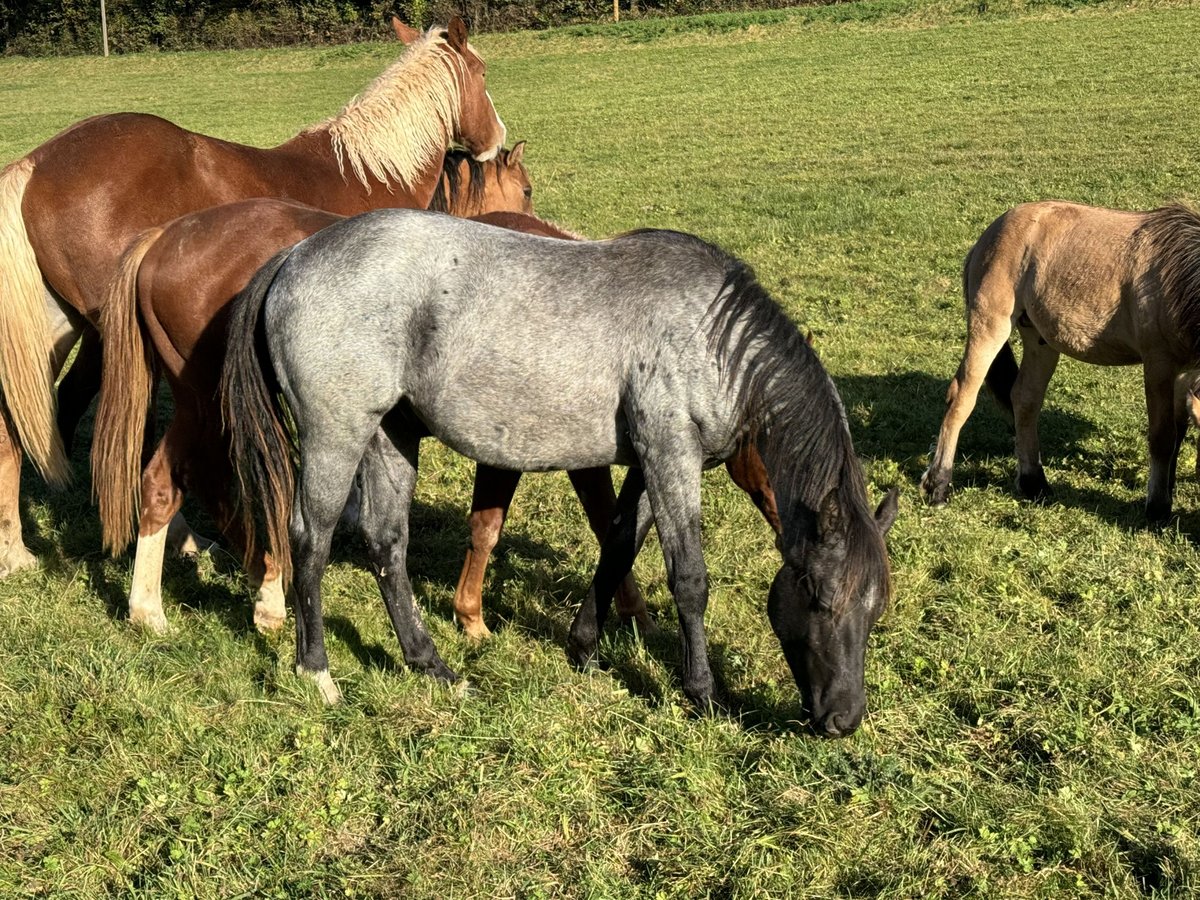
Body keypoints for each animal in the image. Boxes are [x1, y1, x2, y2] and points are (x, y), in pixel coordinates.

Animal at [0, 15, 501, 578]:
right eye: (483, 71)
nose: (496, 138)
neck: (370, 173)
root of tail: (36, 163)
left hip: (56, 333)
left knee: (17, 429)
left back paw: (16, 551)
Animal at [223, 210, 902, 739]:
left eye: (875, 610)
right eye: (820, 596)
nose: (844, 719)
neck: (711, 334)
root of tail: (294, 256)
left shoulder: (648, 464)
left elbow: (619, 546)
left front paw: (584, 648)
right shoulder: (671, 457)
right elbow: (688, 579)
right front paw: (703, 693)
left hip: (392, 436)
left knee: (387, 545)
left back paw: (432, 665)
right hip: (336, 435)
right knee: (310, 540)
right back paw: (317, 671)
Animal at [916, 199, 1200, 520]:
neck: (1176, 275)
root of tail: (989, 233)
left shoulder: (1184, 372)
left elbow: (1178, 435)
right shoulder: (1158, 365)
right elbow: (1163, 437)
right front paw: (1158, 507)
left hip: (1040, 341)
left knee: (1025, 399)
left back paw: (1034, 483)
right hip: (989, 326)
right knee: (962, 397)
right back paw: (939, 484)